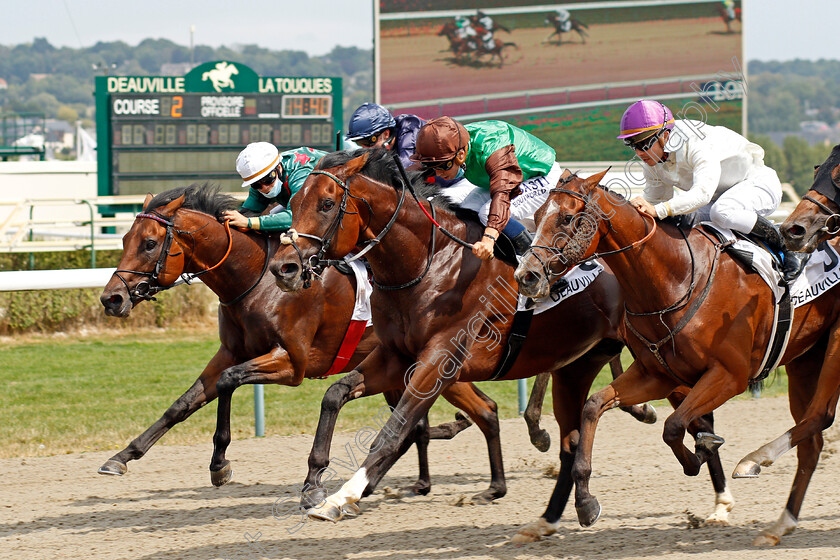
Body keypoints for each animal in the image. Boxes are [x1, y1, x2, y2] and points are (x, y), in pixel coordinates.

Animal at [98, 185, 506, 504]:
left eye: (150, 243)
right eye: (124, 240)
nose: (111, 299)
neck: (254, 279)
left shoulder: (291, 362)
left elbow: (230, 381)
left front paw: (220, 464)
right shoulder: (230, 351)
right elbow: (182, 405)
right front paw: (122, 456)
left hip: (435, 366)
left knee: (475, 410)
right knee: (447, 417)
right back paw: (430, 480)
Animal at [268, 149, 728, 540]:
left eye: (327, 204)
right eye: (294, 202)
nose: (283, 268)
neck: (429, 265)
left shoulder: (438, 364)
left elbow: (394, 431)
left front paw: (341, 497)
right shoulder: (395, 357)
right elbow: (334, 394)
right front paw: (312, 486)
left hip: (667, 362)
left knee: (697, 414)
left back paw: (720, 501)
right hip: (581, 363)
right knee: (574, 438)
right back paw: (556, 513)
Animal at [516, 171, 840, 548]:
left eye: (567, 218)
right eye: (537, 216)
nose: (526, 276)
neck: (675, 277)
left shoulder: (730, 376)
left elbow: (674, 426)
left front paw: (702, 451)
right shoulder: (656, 375)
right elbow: (594, 406)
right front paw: (585, 501)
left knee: (819, 416)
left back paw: (752, 464)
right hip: (805, 359)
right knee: (811, 443)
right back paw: (780, 524)